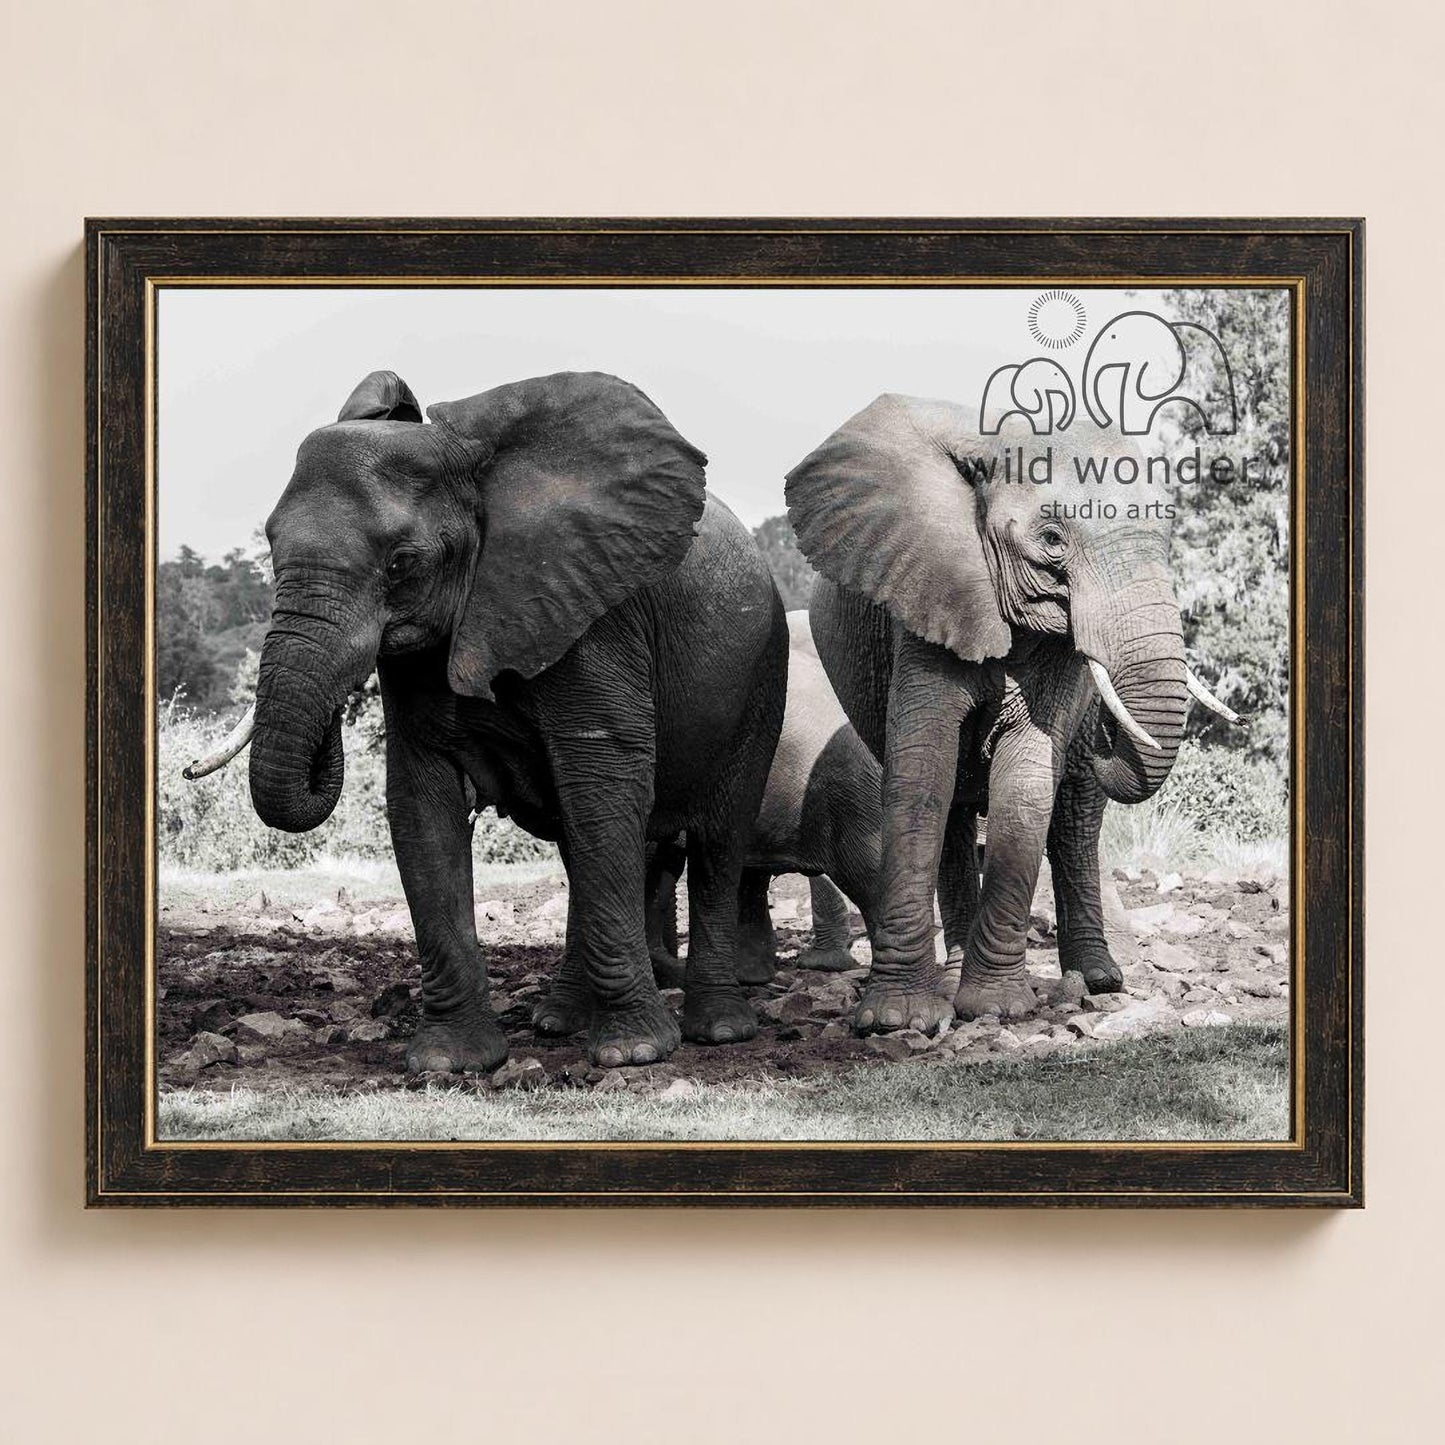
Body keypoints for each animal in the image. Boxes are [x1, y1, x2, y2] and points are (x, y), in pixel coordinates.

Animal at [240, 368, 788, 1071]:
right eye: (271, 542)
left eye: (401, 562)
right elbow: (422, 803)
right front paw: (450, 1062)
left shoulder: (593, 611)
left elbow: (605, 782)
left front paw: (634, 1052)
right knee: (586, 845)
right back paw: (559, 1021)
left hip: (762, 668)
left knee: (718, 835)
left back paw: (717, 1030)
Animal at [786, 393, 1237, 1034]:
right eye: (1051, 538)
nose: (1105, 732)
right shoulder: (924, 591)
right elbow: (921, 769)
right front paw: (898, 1019)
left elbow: (1026, 776)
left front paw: (995, 1009)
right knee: (952, 809)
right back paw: (951, 980)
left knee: (1074, 821)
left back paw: (1097, 982)